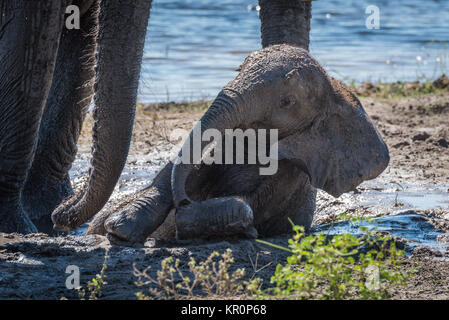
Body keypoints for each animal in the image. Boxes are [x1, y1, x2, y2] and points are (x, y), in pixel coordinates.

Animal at [51, 1, 388, 244]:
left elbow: (248, 205)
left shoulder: (289, 174)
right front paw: (121, 226)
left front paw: (188, 221)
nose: (184, 201)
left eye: (287, 102)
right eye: (238, 68)